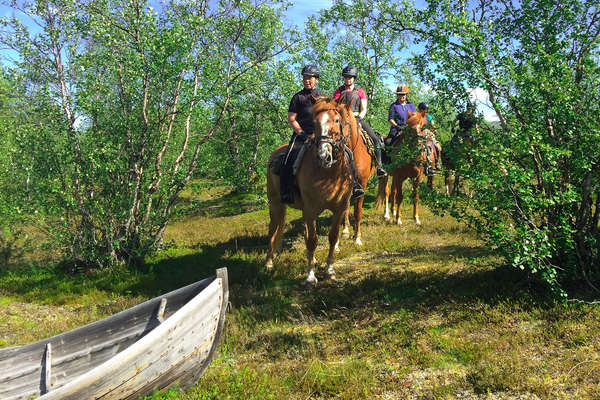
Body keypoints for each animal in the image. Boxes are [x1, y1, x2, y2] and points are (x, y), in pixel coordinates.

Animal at [266, 97, 356, 284]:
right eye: (315, 122)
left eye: (337, 120)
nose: (323, 156)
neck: (328, 173)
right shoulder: (311, 209)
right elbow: (312, 241)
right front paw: (310, 275)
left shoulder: (339, 209)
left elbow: (332, 237)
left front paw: (329, 270)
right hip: (275, 204)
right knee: (273, 230)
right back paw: (269, 263)